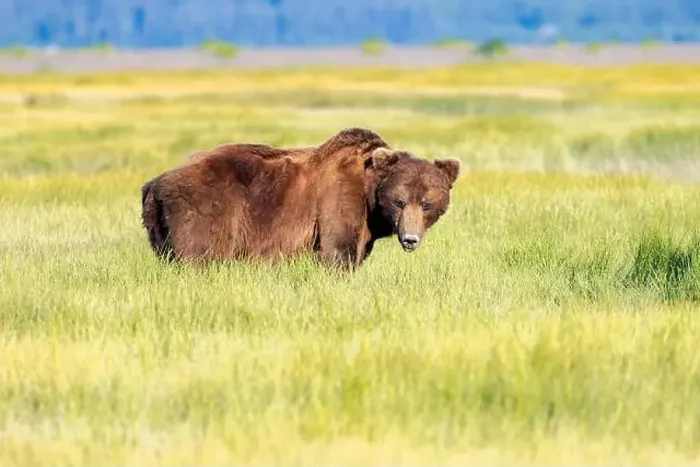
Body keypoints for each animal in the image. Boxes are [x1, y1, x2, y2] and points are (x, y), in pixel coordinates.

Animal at [140, 127, 460, 270]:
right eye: (399, 201)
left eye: (427, 204)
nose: (410, 238)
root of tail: (155, 183)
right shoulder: (339, 200)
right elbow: (338, 252)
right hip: (206, 210)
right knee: (199, 256)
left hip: (159, 228)